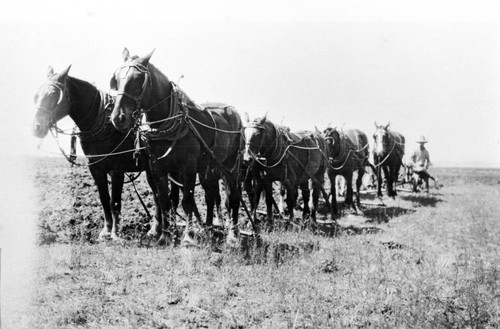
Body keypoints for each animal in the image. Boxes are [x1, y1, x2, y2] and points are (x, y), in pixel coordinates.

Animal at [32, 65, 158, 240]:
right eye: (37, 95)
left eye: (53, 95)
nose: (36, 127)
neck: (105, 124)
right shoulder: (95, 168)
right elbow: (104, 199)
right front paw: (106, 231)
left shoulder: (116, 169)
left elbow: (115, 202)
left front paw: (115, 234)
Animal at [109, 48, 244, 243]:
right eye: (116, 79)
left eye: (138, 80)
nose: (118, 117)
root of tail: (234, 112)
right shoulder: (157, 167)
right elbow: (165, 200)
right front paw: (164, 236)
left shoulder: (188, 166)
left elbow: (186, 200)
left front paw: (188, 237)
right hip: (209, 170)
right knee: (212, 197)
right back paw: (210, 228)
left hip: (231, 166)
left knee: (232, 197)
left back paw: (233, 234)